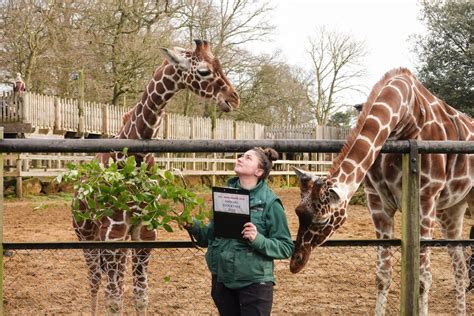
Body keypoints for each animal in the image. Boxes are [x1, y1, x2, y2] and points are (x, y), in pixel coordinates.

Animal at [73, 40, 241, 316]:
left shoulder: (143, 234)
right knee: (95, 281)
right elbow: (114, 300)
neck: (135, 157)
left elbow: (140, 295)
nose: (233, 98)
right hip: (85, 234)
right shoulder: (112, 234)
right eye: (204, 71)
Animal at [290, 68, 472, 314]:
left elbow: (423, 279)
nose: (295, 262)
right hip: (452, 208)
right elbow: (382, 277)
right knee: (460, 267)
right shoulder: (378, 203)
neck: (404, 115)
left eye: (323, 220)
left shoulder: (425, 199)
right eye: (297, 212)